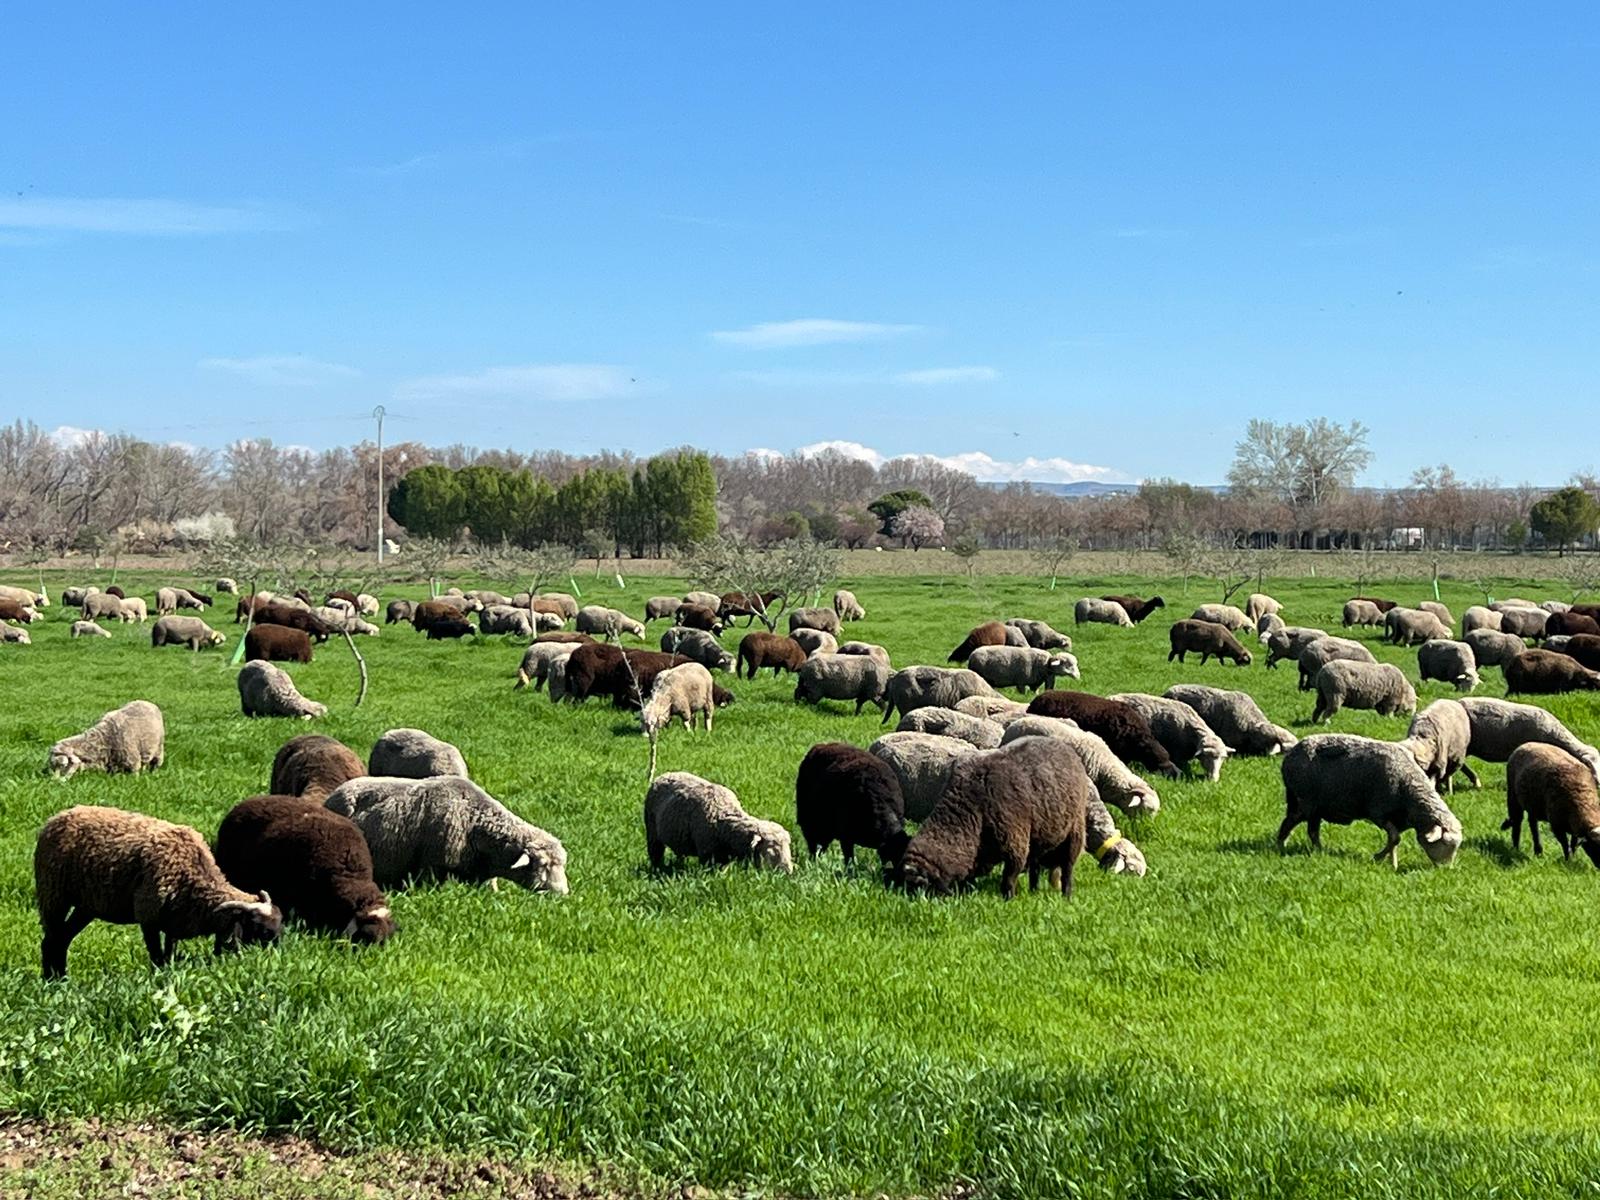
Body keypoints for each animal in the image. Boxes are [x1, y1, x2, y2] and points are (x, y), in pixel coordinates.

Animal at [34, 806, 281, 978]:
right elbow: (157, 957)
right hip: (53, 894)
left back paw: (62, 978)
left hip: (86, 906)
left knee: (63, 939)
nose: (277, 957)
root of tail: (57, 818)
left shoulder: (175, 920)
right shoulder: (148, 916)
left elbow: (168, 954)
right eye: (261, 929)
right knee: (51, 940)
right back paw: (52, 981)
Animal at [644, 772, 792, 873]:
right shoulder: (707, 855)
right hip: (652, 833)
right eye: (771, 851)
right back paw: (657, 869)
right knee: (655, 853)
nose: (788, 873)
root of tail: (664, 775)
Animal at [900, 737, 1089, 899]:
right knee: (1035, 868)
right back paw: (1033, 891)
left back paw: (1066, 896)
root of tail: (1066, 748)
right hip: (1039, 839)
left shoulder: (1016, 845)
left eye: (922, 887)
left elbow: (1008, 879)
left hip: (1074, 833)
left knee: (1067, 869)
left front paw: (1008, 899)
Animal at [1277, 734, 1462, 869]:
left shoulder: (1397, 818)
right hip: (1304, 801)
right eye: (1445, 843)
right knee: (1290, 822)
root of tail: (1292, 753)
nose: (1446, 870)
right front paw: (1379, 858)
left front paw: (1392, 863)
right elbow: (1395, 838)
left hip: (1317, 807)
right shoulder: (1379, 813)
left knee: (1312, 831)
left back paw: (1318, 850)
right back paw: (1281, 846)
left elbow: (1394, 842)